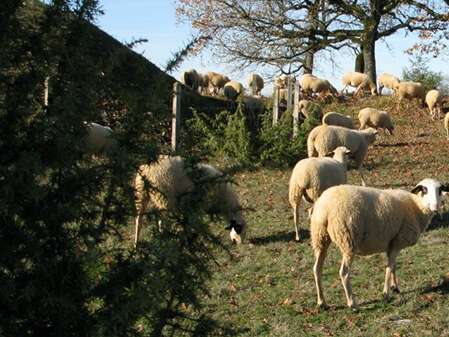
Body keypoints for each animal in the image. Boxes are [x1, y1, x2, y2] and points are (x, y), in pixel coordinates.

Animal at [310, 177, 448, 308]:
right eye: (424, 190)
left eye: (440, 190)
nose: (436, 207)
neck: (415, 206)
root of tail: (325, 208)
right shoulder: (397, 241)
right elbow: (389, 267)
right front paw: (386, 293)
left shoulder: (392, 243)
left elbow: (393, 266)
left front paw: (395, 287)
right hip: (348, 239)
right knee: (344, 273)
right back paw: (352, 304)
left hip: (320, 237)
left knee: (317, 269)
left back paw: (322, 302)